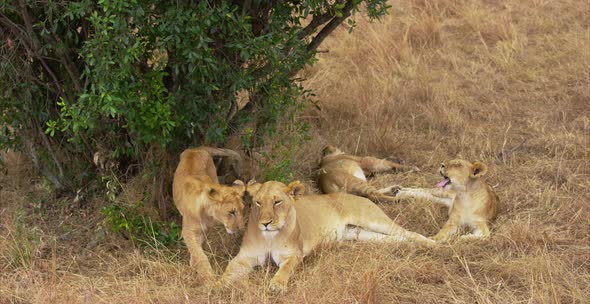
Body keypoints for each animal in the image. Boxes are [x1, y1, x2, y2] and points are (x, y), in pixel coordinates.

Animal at [173, 146, 250, 282]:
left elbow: (198, 249)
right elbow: (199, 254)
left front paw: (196, 267)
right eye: (231, 212)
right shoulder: (188, 232)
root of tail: (196, 148)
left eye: (242, 209)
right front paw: (208, 276)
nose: (241, 229)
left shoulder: (204, 230)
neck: (208, 215)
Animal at [217, 180, 434, 292]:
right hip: (359, 234)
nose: (265, 223)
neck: (270, 237)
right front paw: (216, 285)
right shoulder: (245, 257)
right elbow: (229, 270)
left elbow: (285, 269)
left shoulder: (293, 254)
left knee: (407, 232)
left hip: (373, 219)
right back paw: (409, 246)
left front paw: (277, 285)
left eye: (277, 202)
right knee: (395, 239)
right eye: (258, 203)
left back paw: (431, 244)